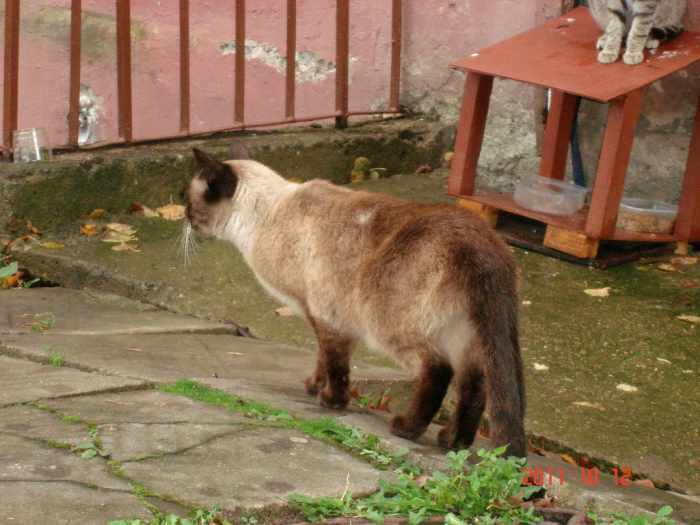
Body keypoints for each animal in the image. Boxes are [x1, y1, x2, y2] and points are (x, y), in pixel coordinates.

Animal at [185, 146, 524, 454]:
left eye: (188, 201)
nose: (185, 219)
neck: (266, 216)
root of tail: (482, 243)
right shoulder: (323, 317)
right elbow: (324, 360)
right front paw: (314, 386)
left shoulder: (324, 315)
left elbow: (334, 364)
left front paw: (330, 401)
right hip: (467, 337)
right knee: (476, 386)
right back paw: (453, 442)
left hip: (392, 326)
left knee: (438, 371)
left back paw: (407, 429)